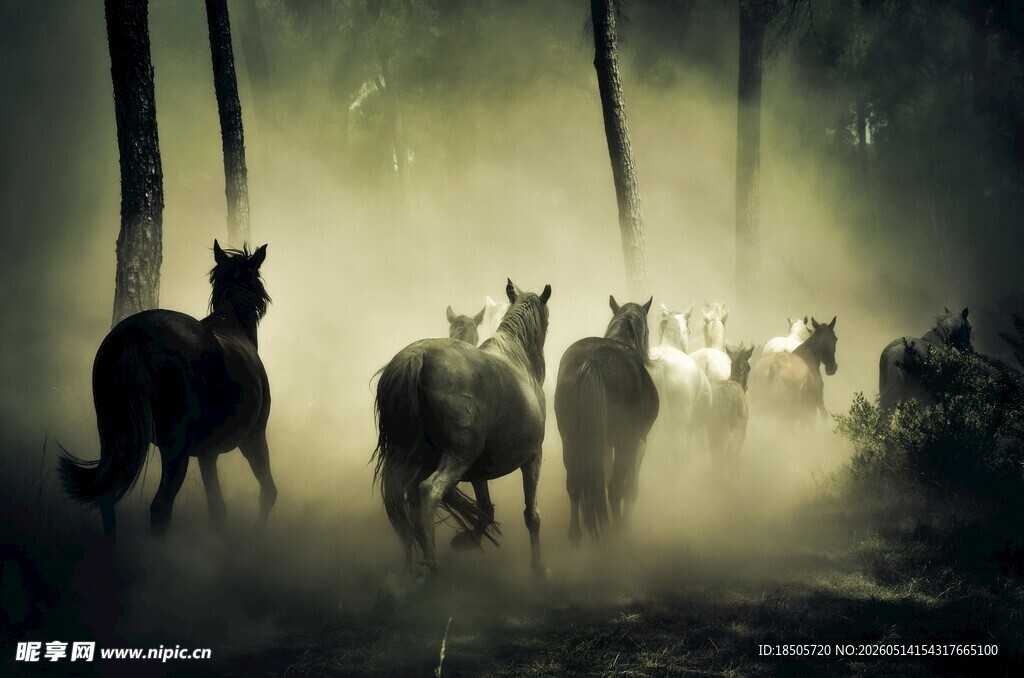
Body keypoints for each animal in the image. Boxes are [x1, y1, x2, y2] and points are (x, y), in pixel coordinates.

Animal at [59, 242, 277, 538]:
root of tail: (134, 333)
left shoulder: (208, 454)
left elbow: (218, 510)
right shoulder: (253, 439)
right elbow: (267, 493)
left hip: (112, 436)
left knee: (107, 498)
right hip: (176, 448)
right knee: (160, 507)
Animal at [373, 279, 552, 576]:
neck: (517, 358)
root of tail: (417, 357)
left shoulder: (480, 468)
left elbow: (486, 509)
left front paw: (466, 540)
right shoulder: (533, 457)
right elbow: (532, 516)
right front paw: (539, 571)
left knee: (400, 502)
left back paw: (410, 566)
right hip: (458, 456)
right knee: (428, 491)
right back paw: (429, 565)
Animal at [554, 296, 660, 543]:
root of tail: (593, 361)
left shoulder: (602, 444)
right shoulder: (639, 442)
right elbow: (630, 489)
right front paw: (626, 525)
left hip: (570, 439)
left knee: (574, 484)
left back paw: (576, 533)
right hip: (624, 442)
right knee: (615, 489)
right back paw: (617, 533)